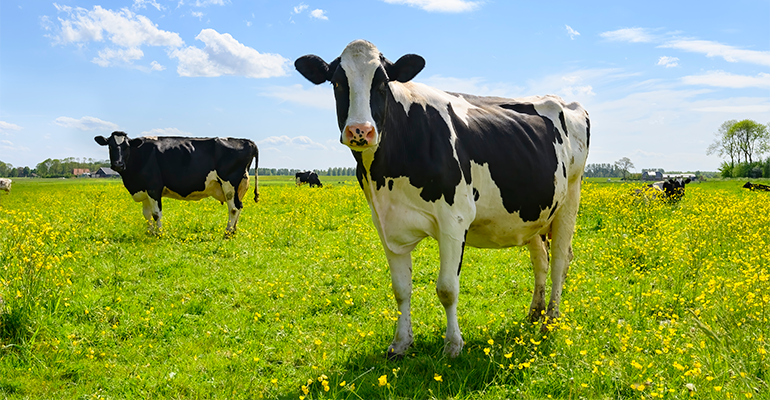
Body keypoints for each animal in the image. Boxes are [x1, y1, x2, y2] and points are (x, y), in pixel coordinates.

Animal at [94, 131, 259, 235]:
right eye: (110, 145)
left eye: (126, 146)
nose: (118, 164)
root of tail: (247, 141)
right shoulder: (144, 189)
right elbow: (146, 214)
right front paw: (149, 233)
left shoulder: (154, 187)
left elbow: (156, 214)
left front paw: (159, 234)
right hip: (239, 187)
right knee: (239, 206)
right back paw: (234, 231)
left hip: (229, 183)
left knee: (234, 208)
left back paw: (227, 233)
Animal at [295, 40, 590, 359]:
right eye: (337, 82)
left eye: (383, 83)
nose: (360, 131)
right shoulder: (386, 223)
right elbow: (400, 289)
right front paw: (401, 343)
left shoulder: (454, 220)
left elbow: (447, 289)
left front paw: (453, 345)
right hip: (534, 211)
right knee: (541, 261)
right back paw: (535, 313)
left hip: (569, 199)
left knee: (560, 260)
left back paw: (550, 321)